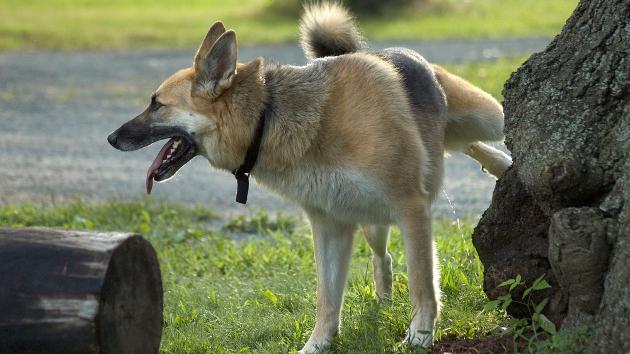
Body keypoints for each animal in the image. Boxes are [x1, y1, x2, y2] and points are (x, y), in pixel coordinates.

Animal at [107, 2, 512, 352]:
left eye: (156, 104)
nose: (111, 138)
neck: (269, 117)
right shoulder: (331, 225)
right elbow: (328, 299)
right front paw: (317, 345)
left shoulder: (411, 208)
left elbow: (422, 283)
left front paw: (420, 336)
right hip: (372, 221)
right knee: (383, 258)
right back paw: (383, 300)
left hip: (484, 117)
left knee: (481, 135)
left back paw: (503, 161)